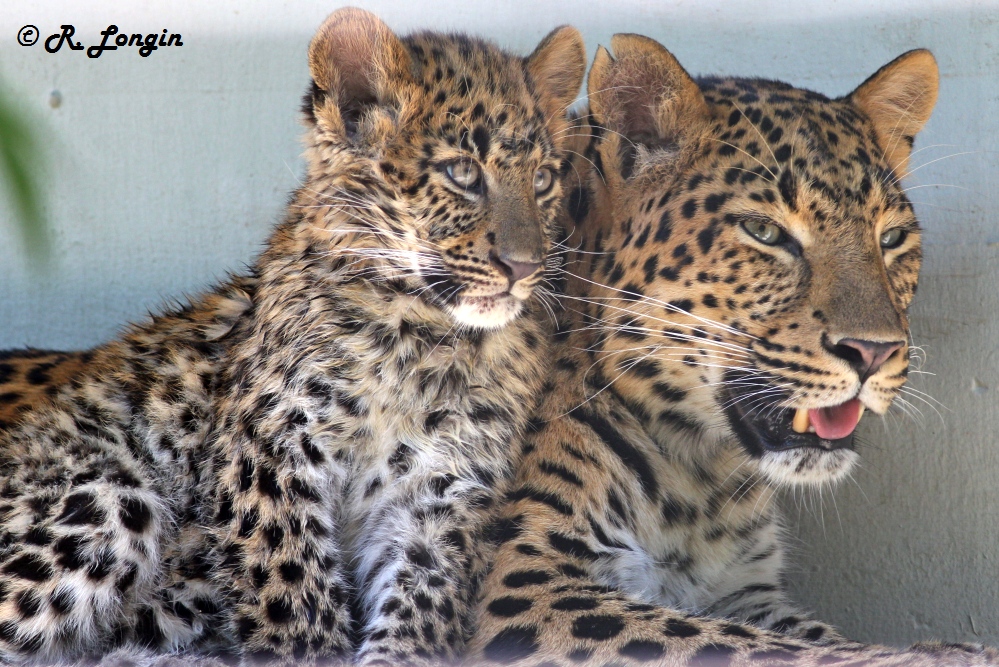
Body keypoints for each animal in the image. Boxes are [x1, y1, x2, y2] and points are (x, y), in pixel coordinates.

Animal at [0, 10, 584, 667]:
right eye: (463, 172)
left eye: (543, 180)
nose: (525, 267)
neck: (421, 335)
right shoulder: (270, 449)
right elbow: (294, 596)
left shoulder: (442, 493)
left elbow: (418, 615)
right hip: (109, 495)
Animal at [470, 34, 999, 664]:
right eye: (765, 233)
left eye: (891, 238)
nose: (874, 353)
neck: (697, 479)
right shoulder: (523, 578)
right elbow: (750, 646)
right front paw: (946, 652)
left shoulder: (743, 591)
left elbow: (800, 637)